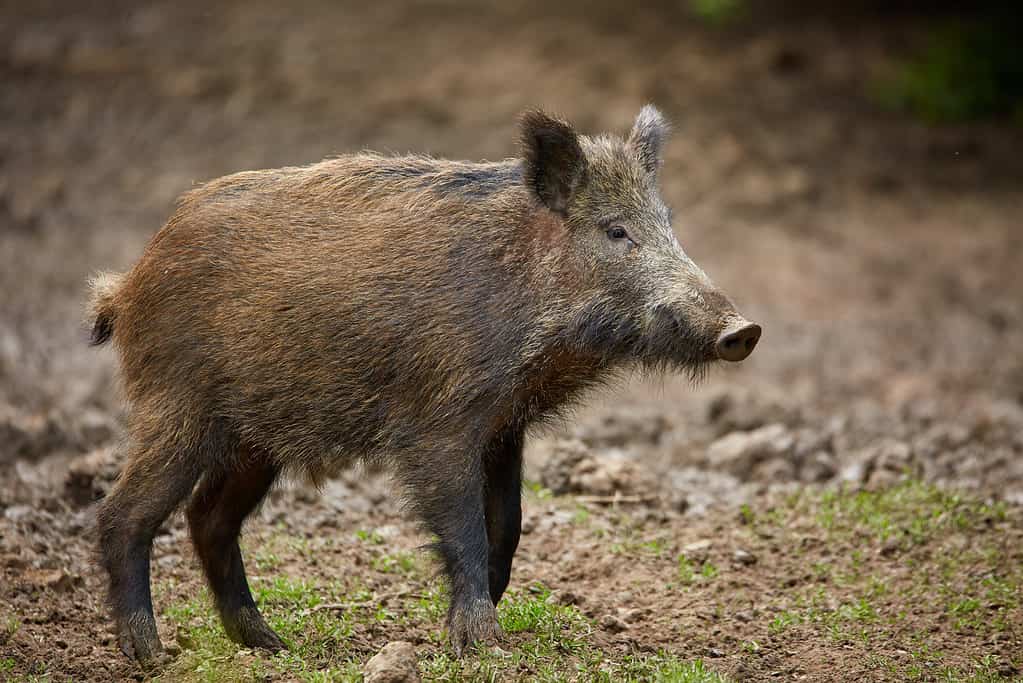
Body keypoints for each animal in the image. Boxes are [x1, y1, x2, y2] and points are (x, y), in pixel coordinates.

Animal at [88, 105, 761, 665]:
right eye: (616, 231)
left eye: (669, 224)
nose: (744, 329)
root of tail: (126, 283)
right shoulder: (439, 422)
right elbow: (464, 525)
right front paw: (482, 644)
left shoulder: (505, 424)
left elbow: (507, 523)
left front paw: (474, 624)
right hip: (178, 408)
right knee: (123, 514)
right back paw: (150, 655)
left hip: (255, 439)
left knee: (208, 518)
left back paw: (271, 646)